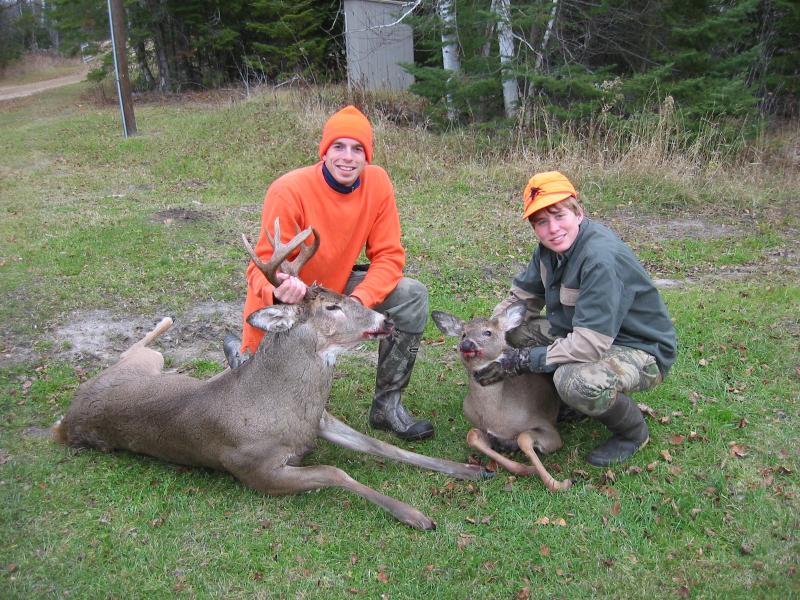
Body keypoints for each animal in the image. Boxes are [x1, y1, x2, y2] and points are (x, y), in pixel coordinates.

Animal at [51, 219, 490, 530]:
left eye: (344, 296)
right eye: (331, 307)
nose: (385, 320)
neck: (279, 405)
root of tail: (66, 421)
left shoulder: (319, 418)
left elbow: (381, 446)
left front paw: (472, 469)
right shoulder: (257, 472)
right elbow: (335, 470)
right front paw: (415, 515)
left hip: (150, 364)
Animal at [431, 303, 572, 492]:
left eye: (488, 332)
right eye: (463, 334)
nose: (467, 344)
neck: (497, 416)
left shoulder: (547, 427)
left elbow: (523, 438)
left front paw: (560, 483)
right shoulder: (484, 430)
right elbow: (472, 435)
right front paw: (528, 469)